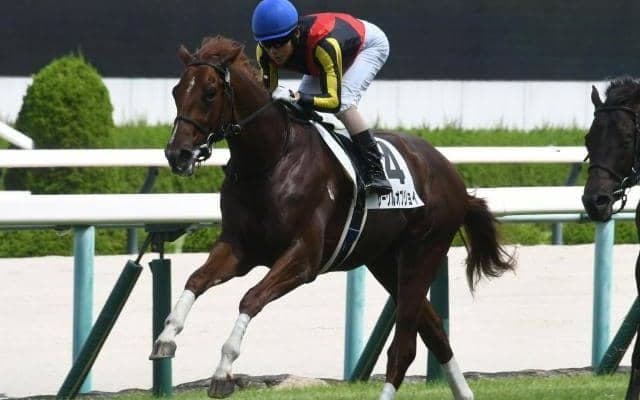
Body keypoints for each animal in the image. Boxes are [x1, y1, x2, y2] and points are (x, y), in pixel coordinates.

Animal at [153, 35, 515, 400]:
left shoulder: (305, 258)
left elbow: (251, 297)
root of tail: (454, 178)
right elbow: (196, 280)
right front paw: (166, 338)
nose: (177, 154)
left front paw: (223, 370)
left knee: (405, 347)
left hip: (424, 252)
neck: (271, 159)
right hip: (385, 261)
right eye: (176, 91)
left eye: (210, 92)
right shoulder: (240, 248)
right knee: (434, 329)